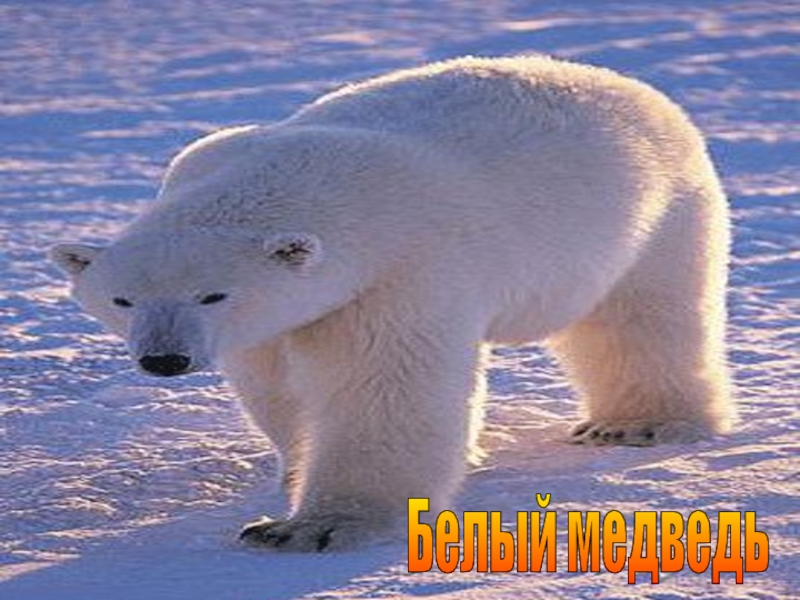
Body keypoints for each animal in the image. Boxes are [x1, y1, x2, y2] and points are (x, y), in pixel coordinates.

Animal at [50, 56, 733, 551]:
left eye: (212, 293)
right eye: (124, 299)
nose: (163, 360)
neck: (318, 184)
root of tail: (630, 86)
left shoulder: (398, 272)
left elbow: (381, 387)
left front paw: (311, 527)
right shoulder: (272, 321)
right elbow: (277, 386)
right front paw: (292, 476)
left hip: (658, 215)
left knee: (644, 317)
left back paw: (638, 422)